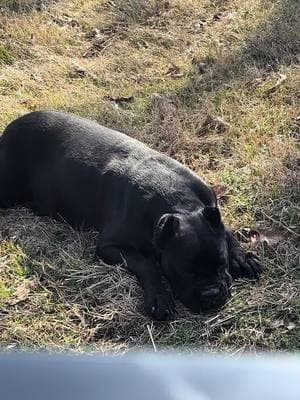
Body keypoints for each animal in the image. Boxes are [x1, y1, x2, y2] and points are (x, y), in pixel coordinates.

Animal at [0, 110, 262, 318]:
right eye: (185, 272)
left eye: (221, 264)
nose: (211, 294)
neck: (177, 202)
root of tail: (11, 127)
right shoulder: (109, 246)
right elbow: (145, 263)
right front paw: (159, 298)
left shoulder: (211, 209)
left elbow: (227, 230)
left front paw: (242, 258)